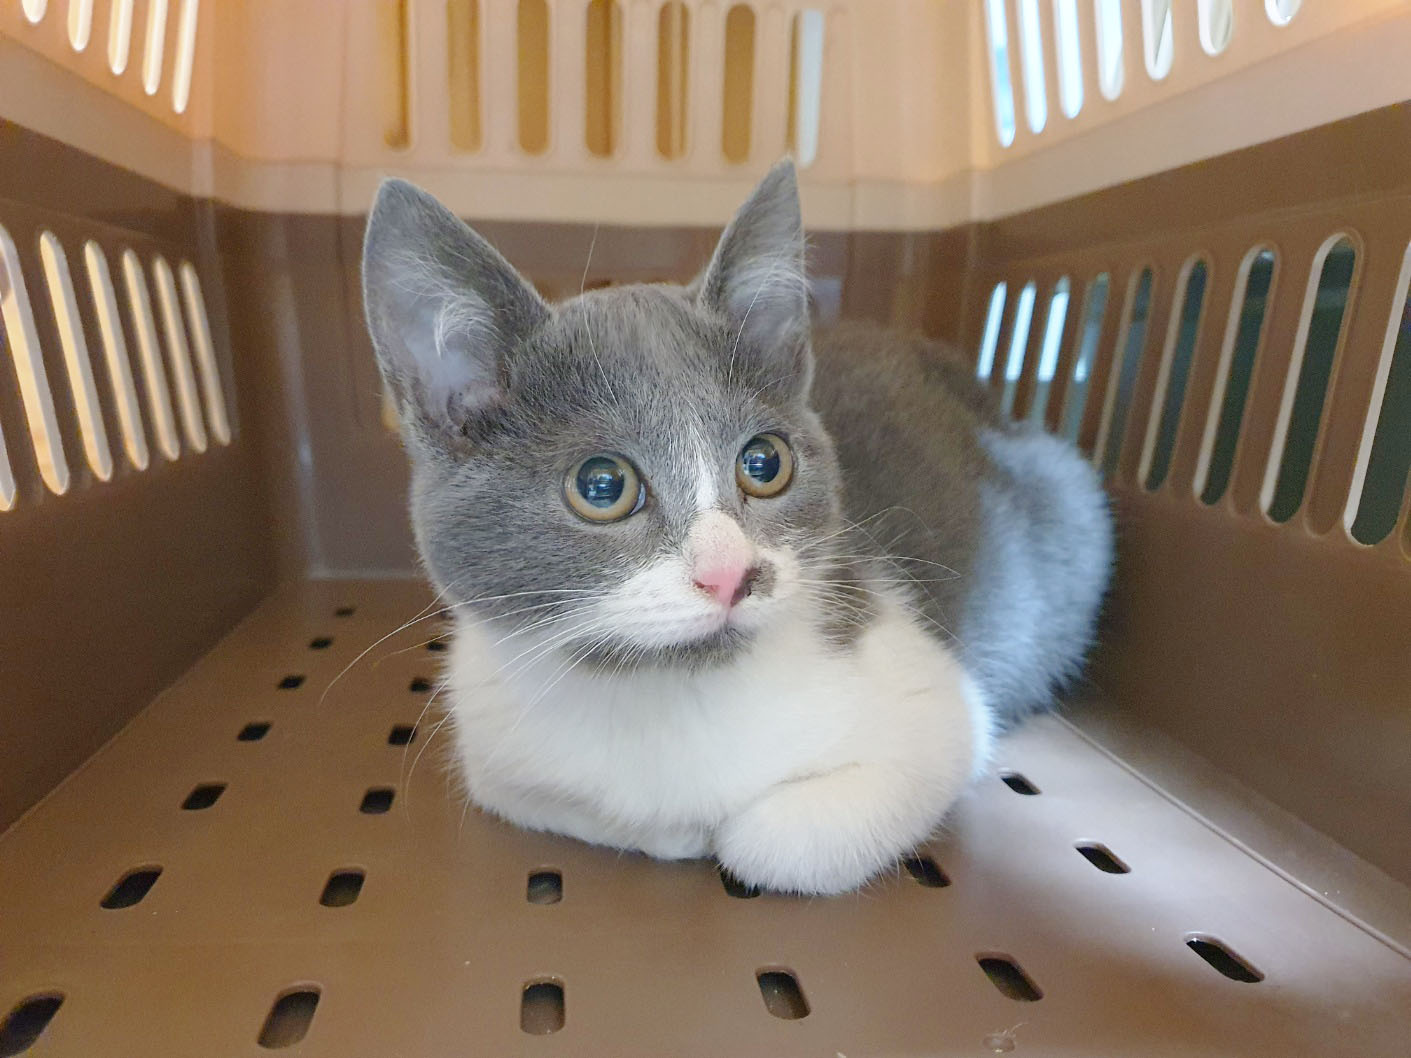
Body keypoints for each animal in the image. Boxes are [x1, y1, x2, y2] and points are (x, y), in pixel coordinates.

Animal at [361, 161, 1113, 895]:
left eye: (764, 462)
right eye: (602, 485)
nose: (730, 574)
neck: (661, 691)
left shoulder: (936, 706)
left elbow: (767, 842)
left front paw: (718, 832)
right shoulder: (492, 748)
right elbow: (580, 806)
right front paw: (673, 827)